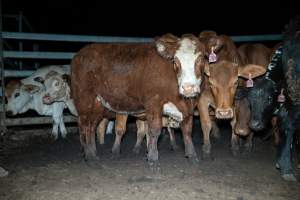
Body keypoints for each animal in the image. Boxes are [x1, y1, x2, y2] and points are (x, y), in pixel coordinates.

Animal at [71, 34, 206, 167]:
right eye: (175, 60)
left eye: (201, 59)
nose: (188, 88)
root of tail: (81, 54)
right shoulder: (153, 103)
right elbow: (154, 130)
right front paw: (152, 158)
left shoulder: (187, 108)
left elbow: (187, 130)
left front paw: (192, 156)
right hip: (84, 100)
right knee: (84, 126)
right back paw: (89, 156)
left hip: (97, 104)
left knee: (91, 126)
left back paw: (93, 153)